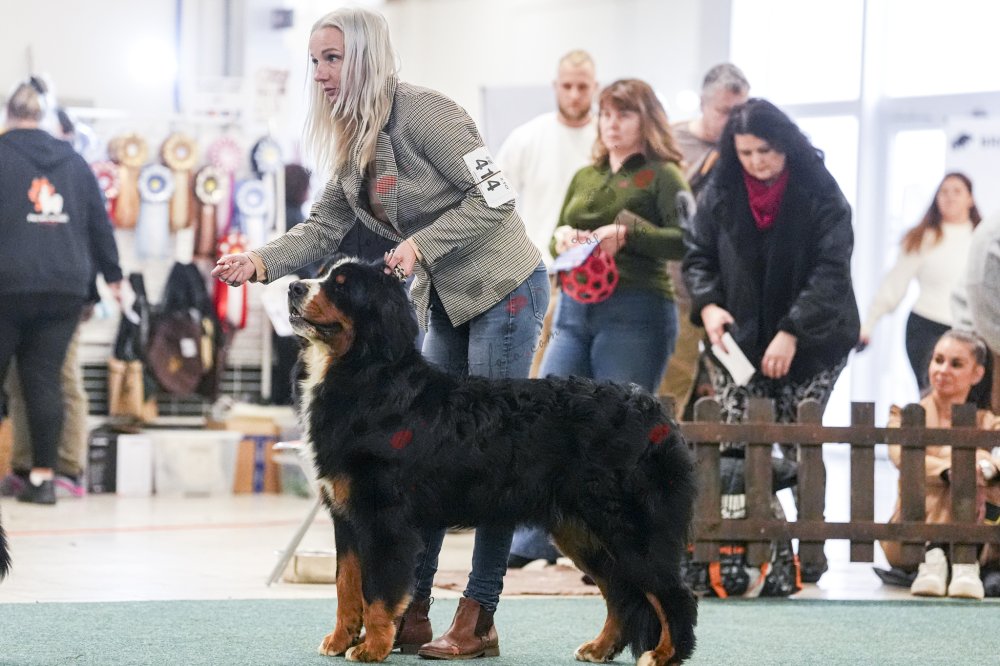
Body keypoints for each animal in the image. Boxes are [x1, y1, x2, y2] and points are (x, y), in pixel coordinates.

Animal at [288, 258, 698, 665]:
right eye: (322, 275)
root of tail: (655, 410)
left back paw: (664, 654)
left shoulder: (383, 518)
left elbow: (376, 592)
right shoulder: (346, 515)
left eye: (342, 285)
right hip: (583, 531)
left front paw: (371, 648)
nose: (294, 287)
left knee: (672, 593)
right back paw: (600, 647)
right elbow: (345, 585)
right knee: (621, 592)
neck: (368, 376)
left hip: (628, 527)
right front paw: (339, 640)